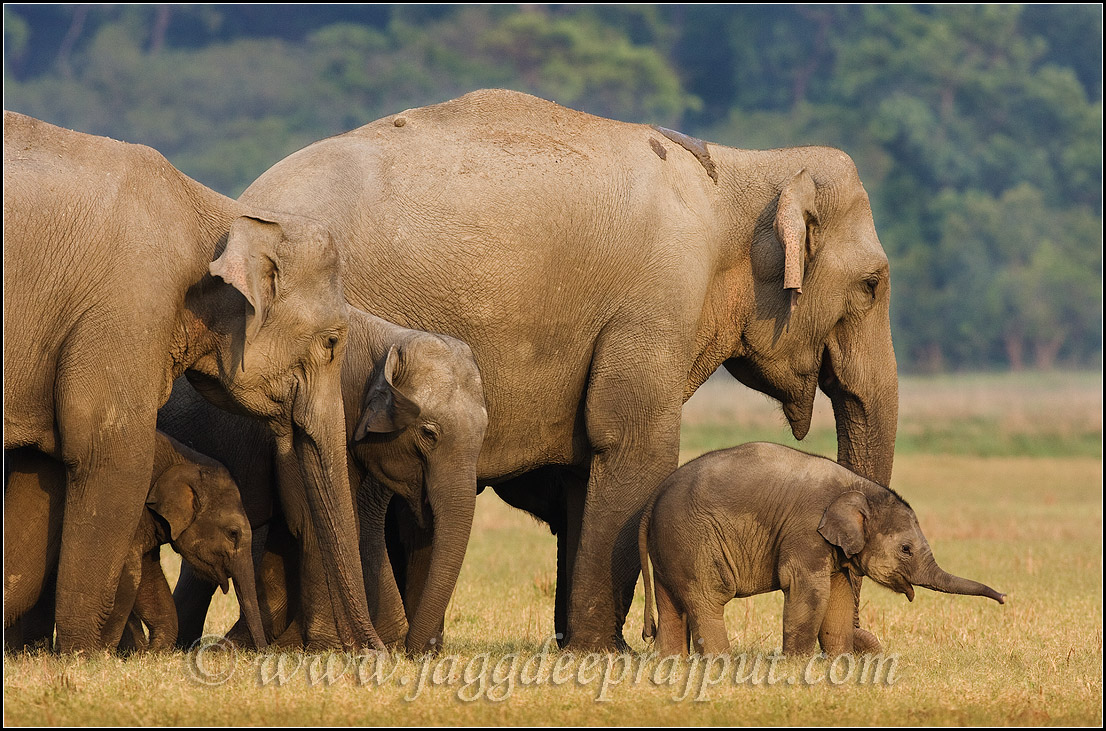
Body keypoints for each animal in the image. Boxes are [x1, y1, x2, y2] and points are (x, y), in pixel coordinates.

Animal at [4, 433, 265, 652]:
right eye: (233, 533)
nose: (262, 653)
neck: (184, 458)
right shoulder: (131, 514)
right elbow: (130, 575)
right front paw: (106, 653)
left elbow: (149, 577)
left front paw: (152, 653)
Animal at [235, 89, 900, 651]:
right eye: (872, 284)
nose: (864, 643)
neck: (738, 173)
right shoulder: (658, 300)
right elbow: (632, 440)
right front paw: (606, 652)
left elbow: (587, 459)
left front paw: (582, 644)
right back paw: (365, 641)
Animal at [640, 442, 1005, 657]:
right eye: (905, 548)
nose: (1003, 598)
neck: (857, 486)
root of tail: (653, 500)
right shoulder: (806, 531)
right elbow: (808, 590)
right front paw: (796, 666)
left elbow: (839, 595)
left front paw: (840, 664)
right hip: (692, 539)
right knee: (708, 599)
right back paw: (722, 664)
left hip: (670, 546)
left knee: (670, 602)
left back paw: (672, 663)